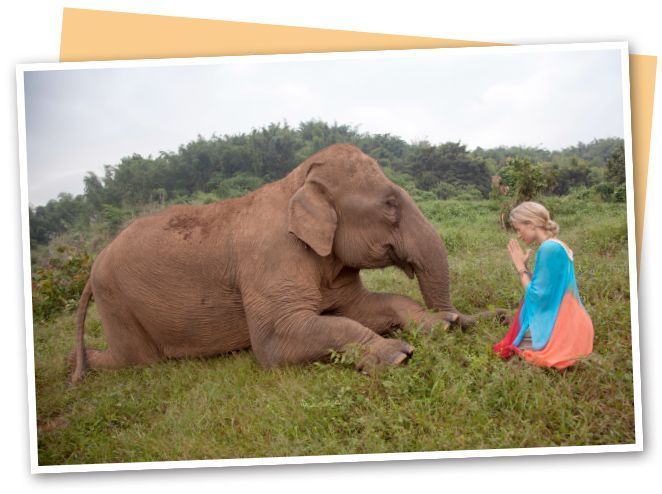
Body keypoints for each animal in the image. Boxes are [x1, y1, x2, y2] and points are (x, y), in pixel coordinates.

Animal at [70, 143, 496, 384]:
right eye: (391, 205)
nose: (460, 318)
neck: (294, 183)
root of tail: (94, 265)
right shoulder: (270, 257)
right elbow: (277, 340)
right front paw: (397, 354)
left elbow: (366, 307)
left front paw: (439, 327)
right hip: (118, 303)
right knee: (134, 360)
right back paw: (77, 365)